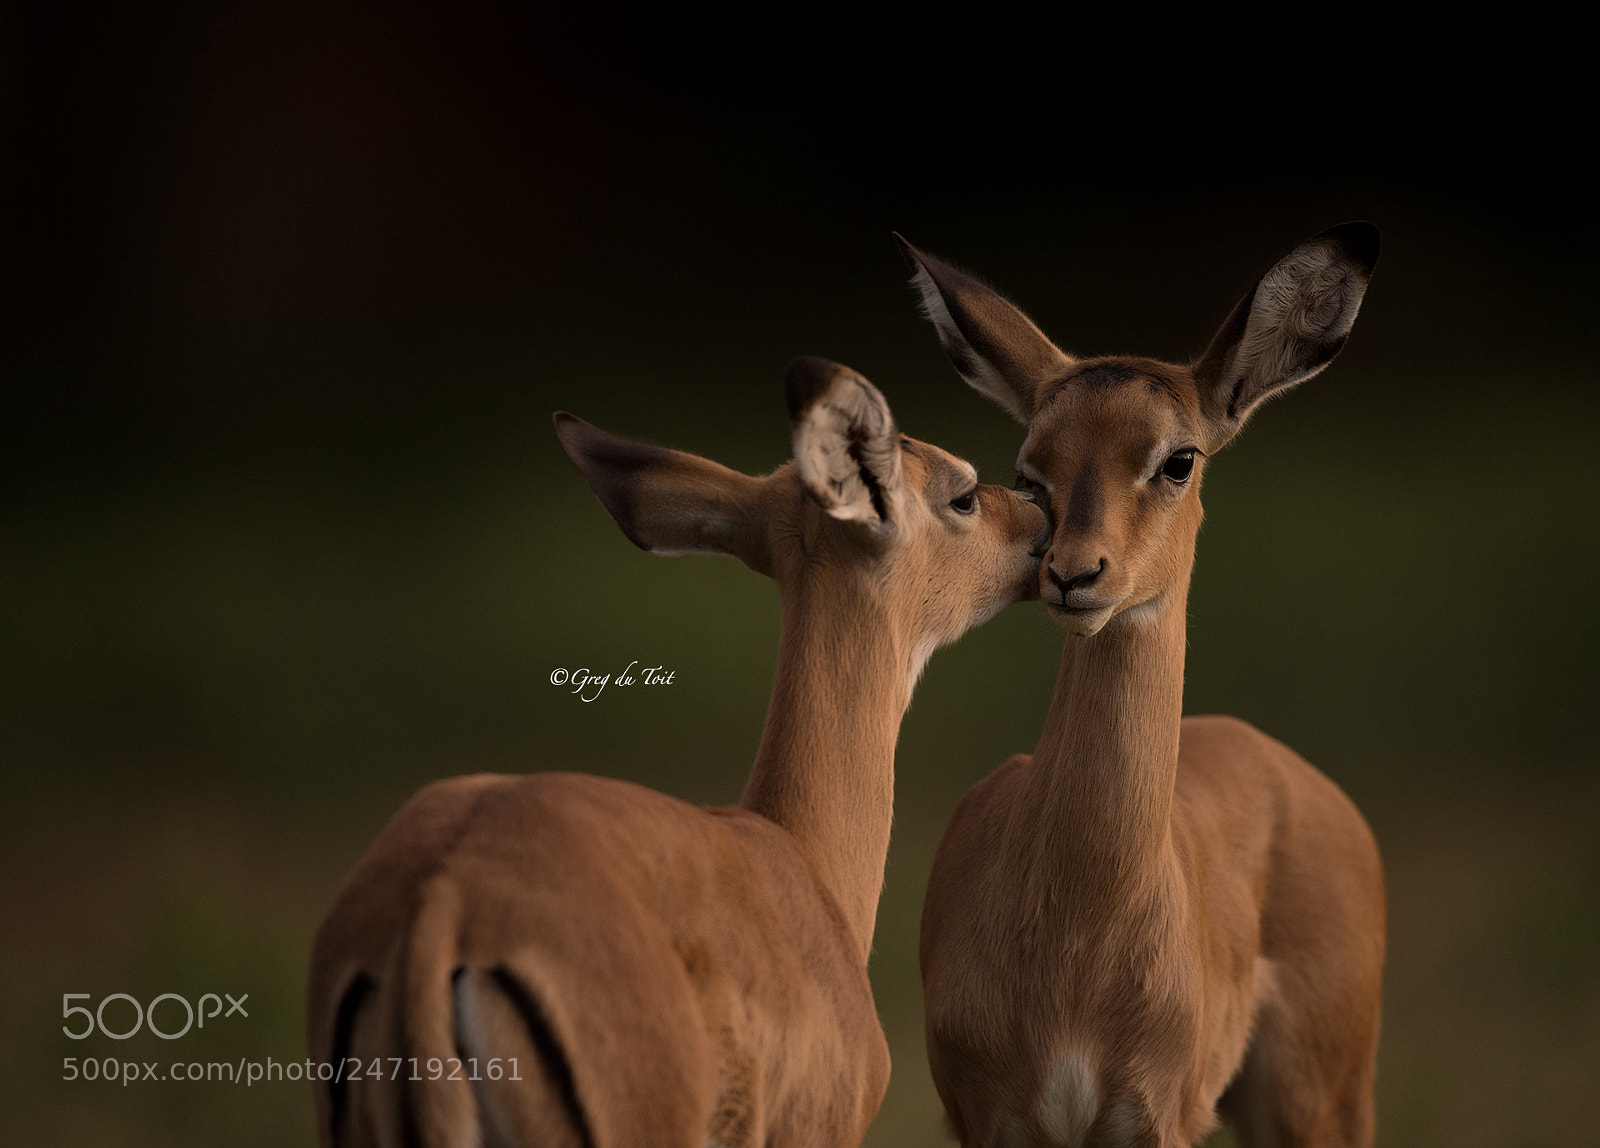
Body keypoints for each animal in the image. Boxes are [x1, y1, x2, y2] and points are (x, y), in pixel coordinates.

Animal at [902, 226, 1387, 1147]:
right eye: (1030, 469)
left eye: (1178, 458)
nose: (1073, 574)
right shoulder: (989, 1118)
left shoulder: (1153, 1119)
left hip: (1320, 1100)